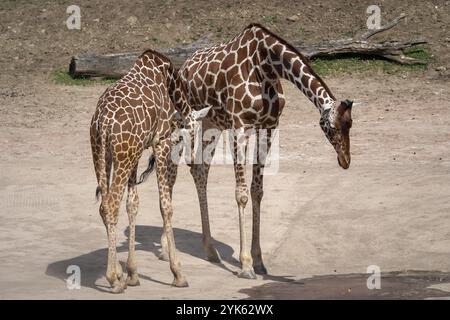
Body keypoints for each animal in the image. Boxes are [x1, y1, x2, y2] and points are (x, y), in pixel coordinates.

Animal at [92, 48, 213, 292]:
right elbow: (165, 206)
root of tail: (102, 123)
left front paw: (132, 273)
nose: (193, 159)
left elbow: (132, 205)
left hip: (103, 155)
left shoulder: (137, 152)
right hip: (121, 157)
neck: (168, 80)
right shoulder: (161, 141)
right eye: (194, 132)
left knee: (104, 206)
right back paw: (113, 279)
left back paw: (117, 273)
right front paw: (178, 273)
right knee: (111, 205)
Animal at [174, 23, 354, 278]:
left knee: (199, 168)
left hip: (211, 123)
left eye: (351, 124)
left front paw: (259, 261)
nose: (345, 159)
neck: (267, 66)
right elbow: (241, 193)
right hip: (183, 120)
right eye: (333, 126)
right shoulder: (239, 126)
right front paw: (245, 264)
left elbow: (257, 191)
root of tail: (184, 67)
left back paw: (210, 250)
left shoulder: (268, 126)